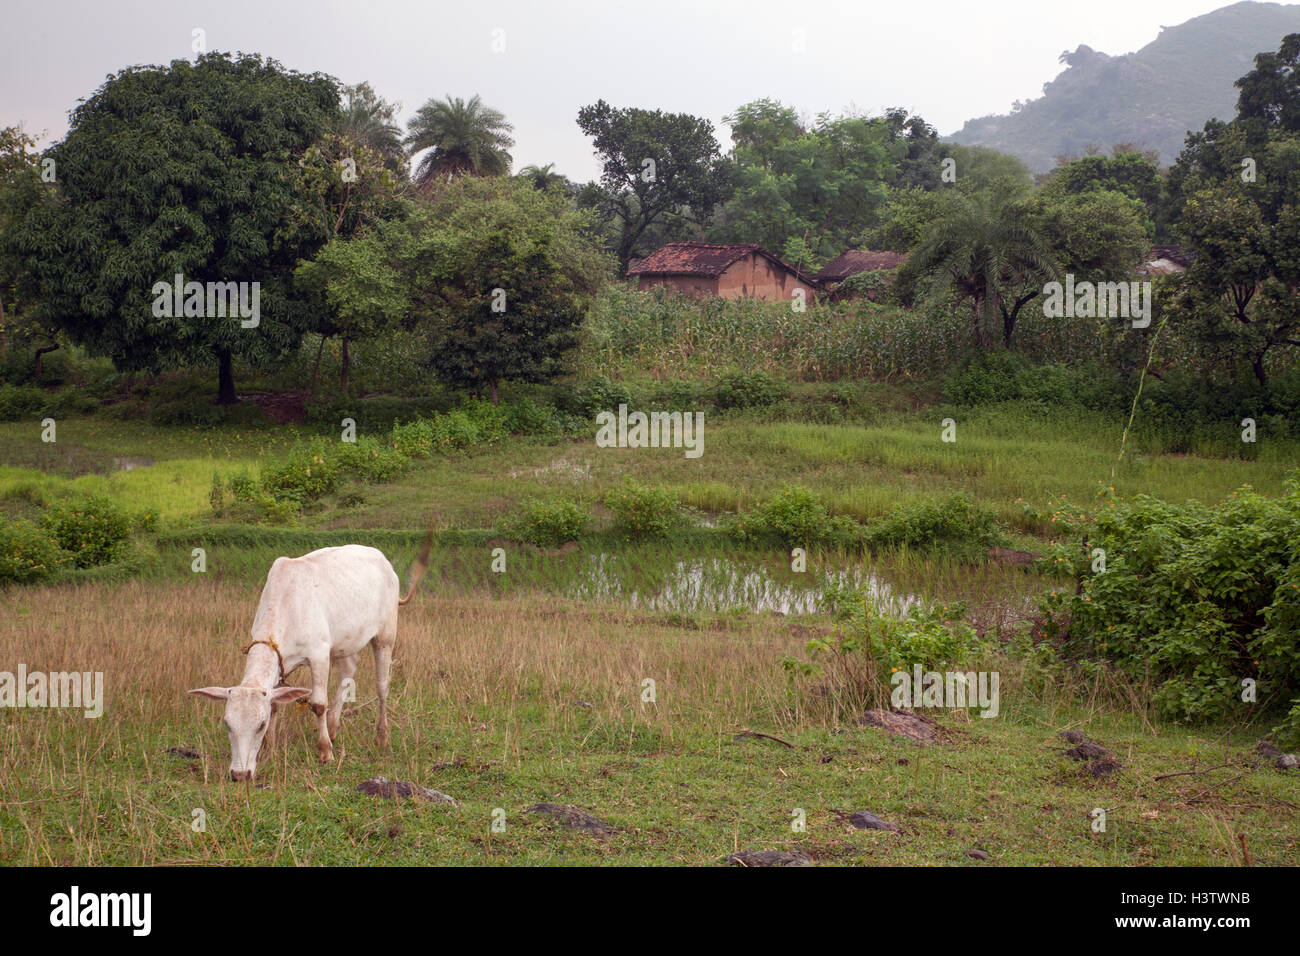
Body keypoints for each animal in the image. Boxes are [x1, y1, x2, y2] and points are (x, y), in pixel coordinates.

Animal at [189, 541, 431, 780]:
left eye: (260, 725)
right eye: (227, 724)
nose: (240, 774)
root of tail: (382, 558)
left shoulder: (319, 654)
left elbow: (318, 704)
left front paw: (325, 752)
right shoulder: (281, 664)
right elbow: (275, 704)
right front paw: (269, 749)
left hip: (386, 635)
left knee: (382, 687)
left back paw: (381, 737)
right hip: (345, 641)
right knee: (349, 669)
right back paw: (333, 728)